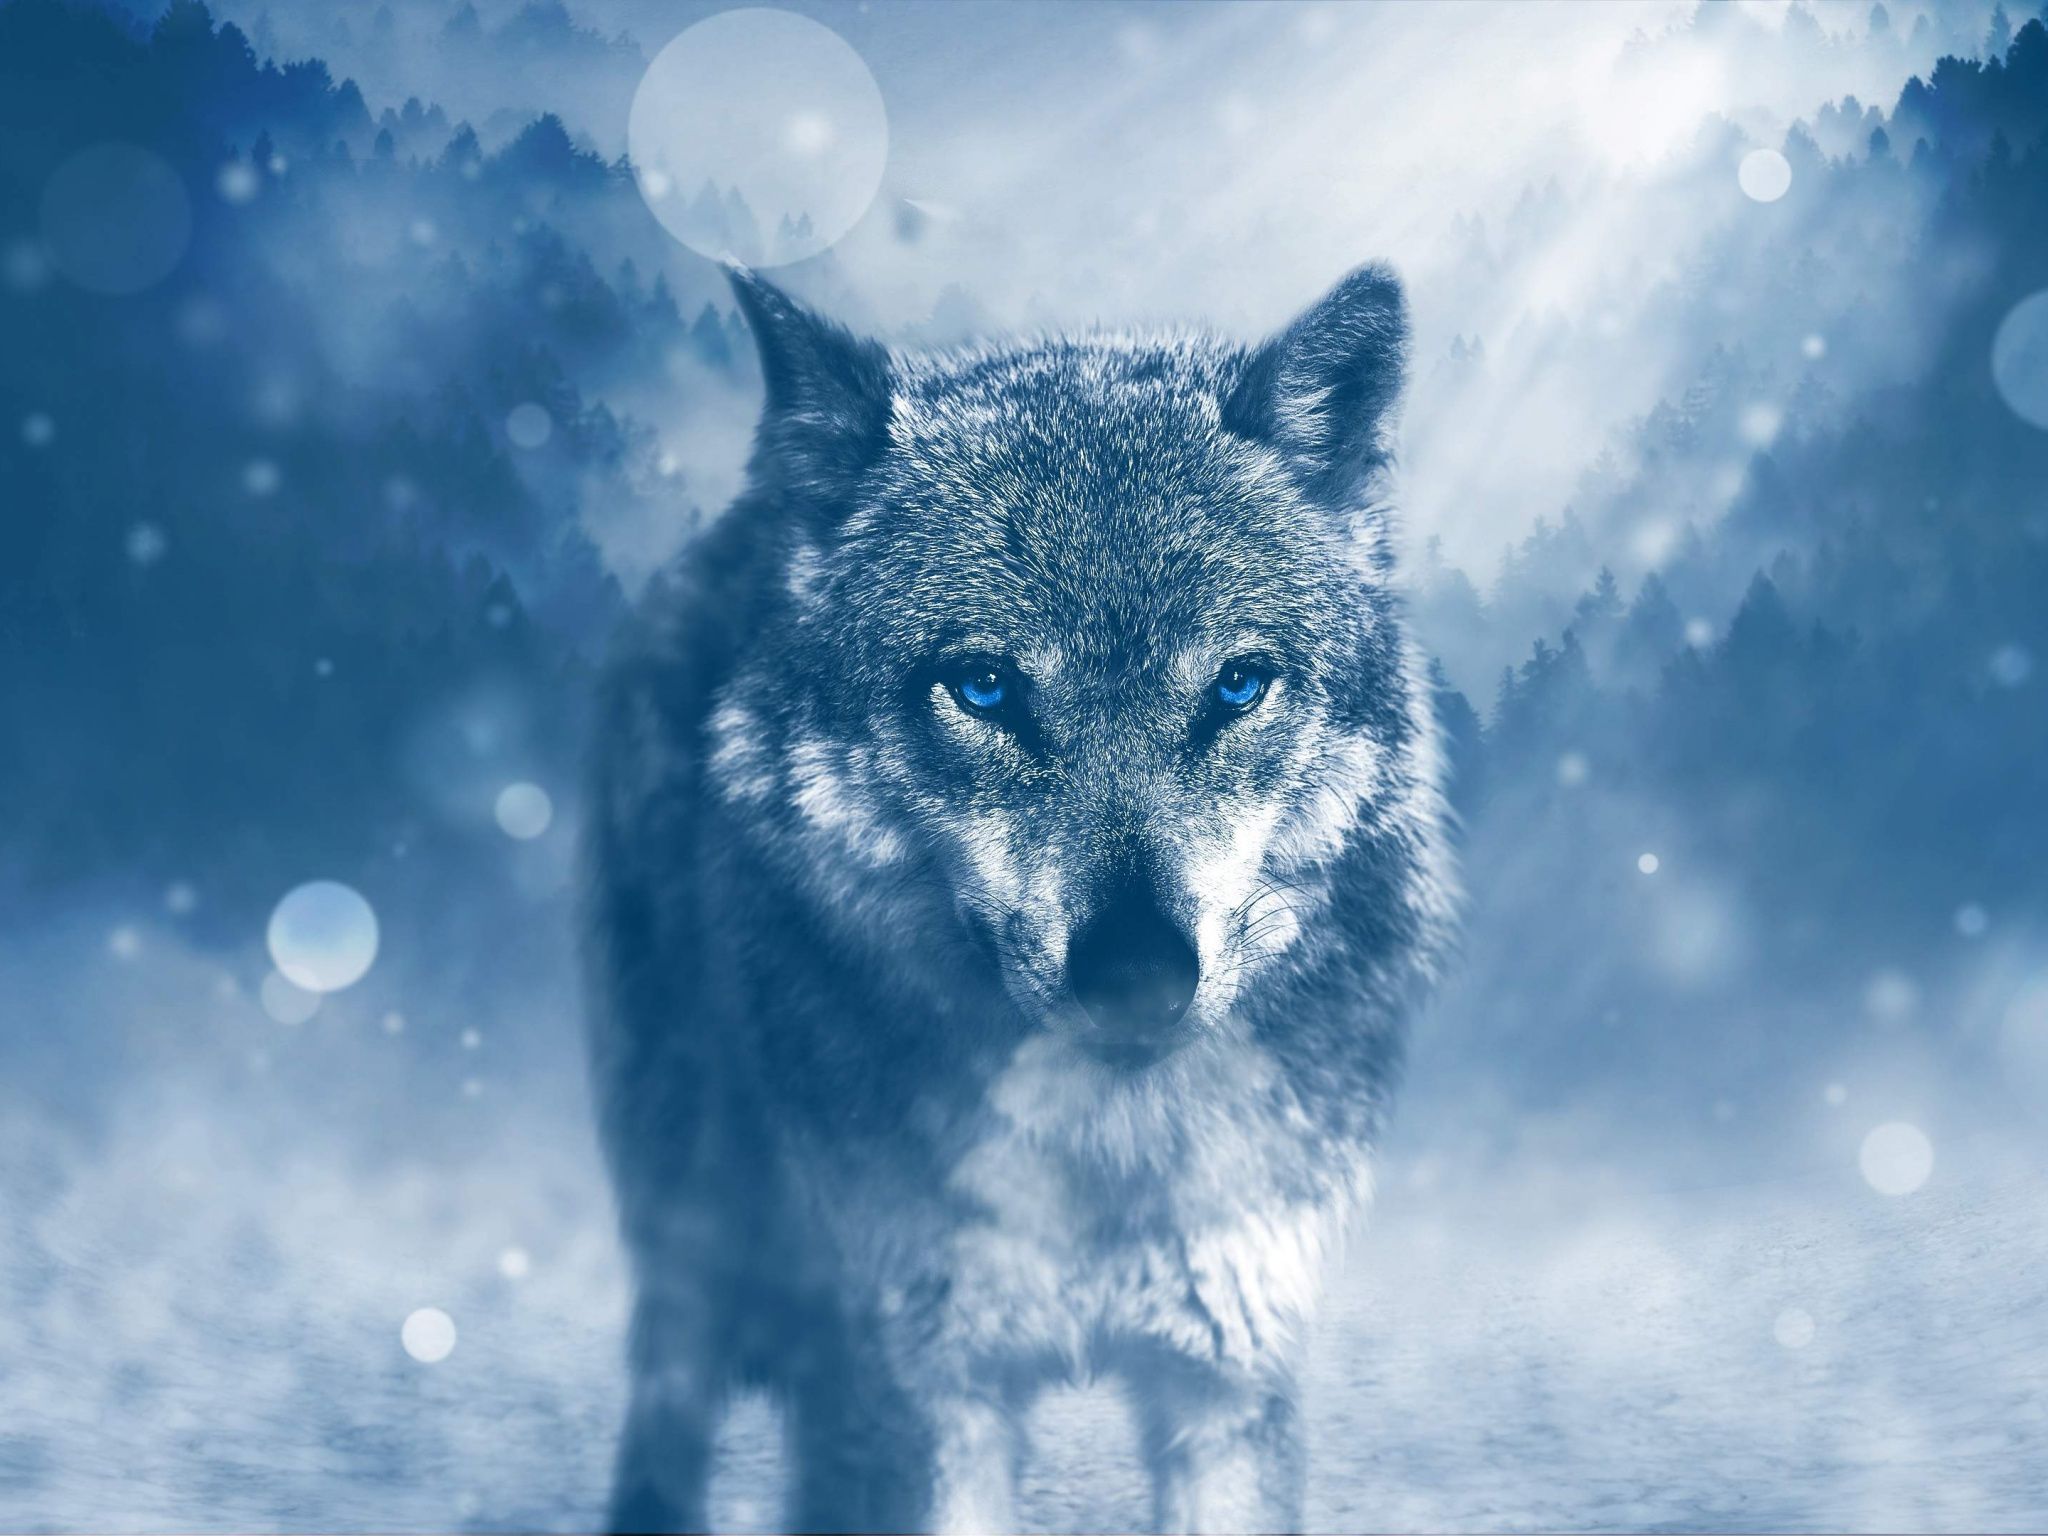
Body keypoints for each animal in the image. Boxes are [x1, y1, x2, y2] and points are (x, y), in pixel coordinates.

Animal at [582, 262, 1457, 1534]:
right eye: (985, 687)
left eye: (1237, 684)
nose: (1137, 975)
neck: (1103, 1157)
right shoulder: (915, 1391)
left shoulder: (1227, 1376)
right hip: (690, 1207)